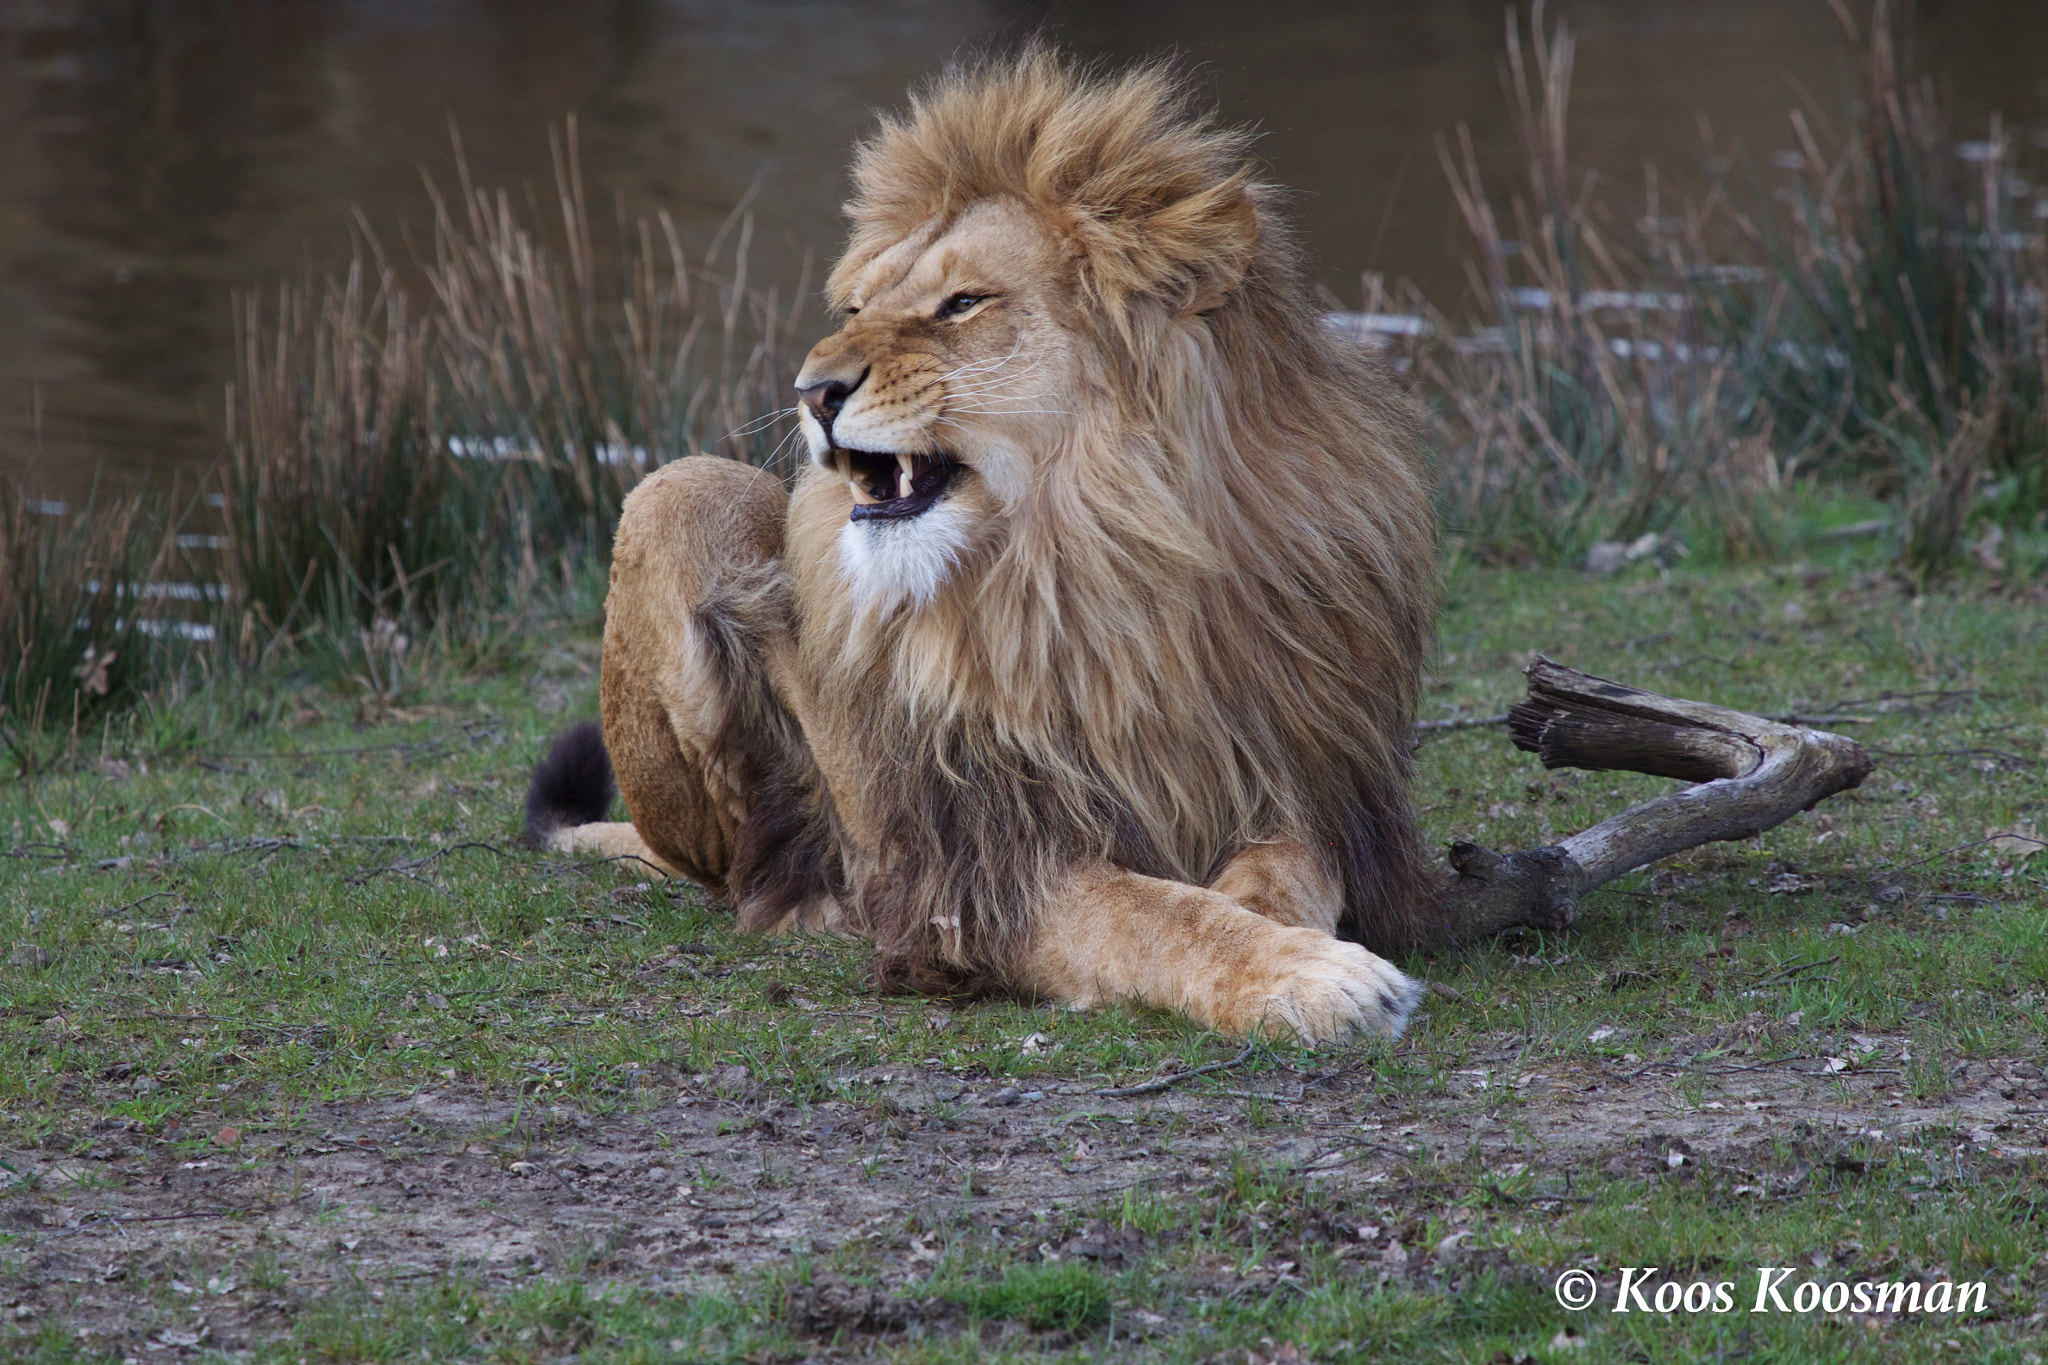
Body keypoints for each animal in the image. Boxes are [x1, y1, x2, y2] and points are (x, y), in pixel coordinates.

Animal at [525, 46, 1439, 1041]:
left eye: (961, 303)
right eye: (854, 307)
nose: (811, 391)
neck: (1094, 565)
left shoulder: (1306, 778)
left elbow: (1282, 873)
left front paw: (1287, 934)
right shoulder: (982, 863)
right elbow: (1157, 915)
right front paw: (1316, 976)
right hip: (679, 490)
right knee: (735, 865)